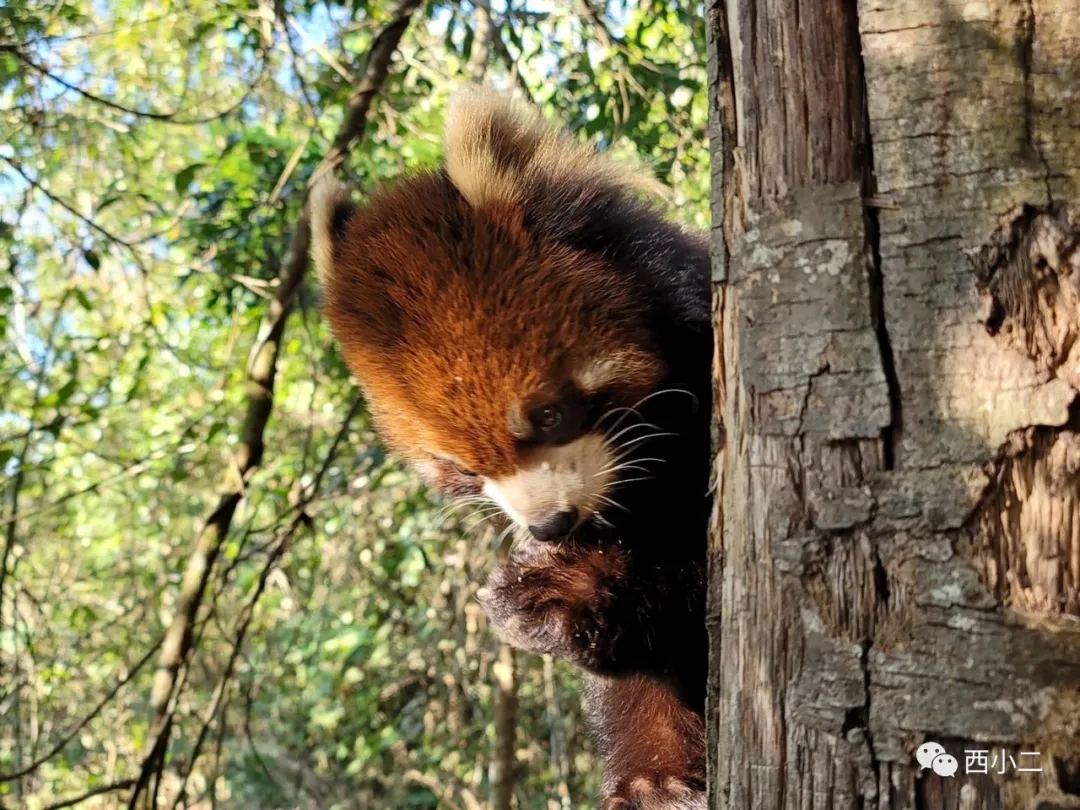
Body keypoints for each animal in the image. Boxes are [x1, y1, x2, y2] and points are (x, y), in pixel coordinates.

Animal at [313, 87, 712, 810]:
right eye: (463, 471)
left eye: (548, 415)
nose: (551, 523)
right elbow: (639, 681)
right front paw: (656, 774)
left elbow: (689, 571)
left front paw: (558, 595)